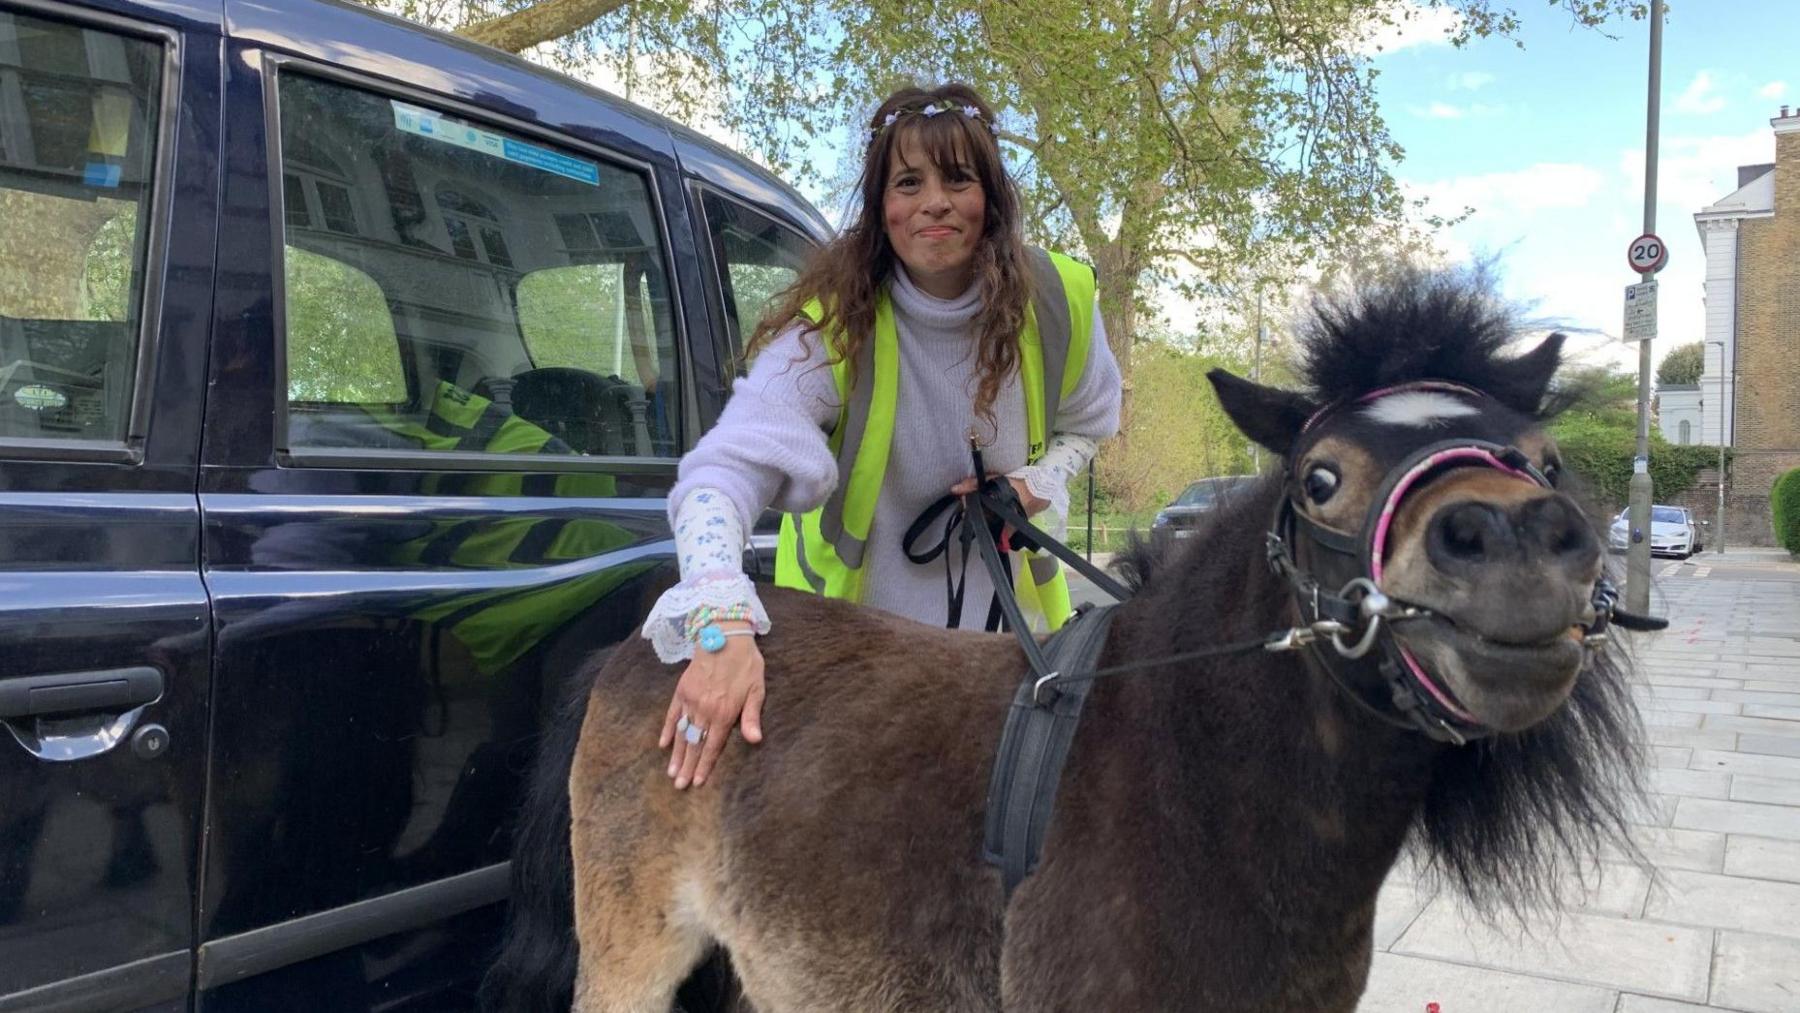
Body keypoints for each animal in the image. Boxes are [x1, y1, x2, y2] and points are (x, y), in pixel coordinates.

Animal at [483, 269, 1649, 1012]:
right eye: (1322, 476)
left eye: (1546, 458)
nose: (1514, 543)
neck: (1204, 784)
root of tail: (650, 648)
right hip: (632, 954)